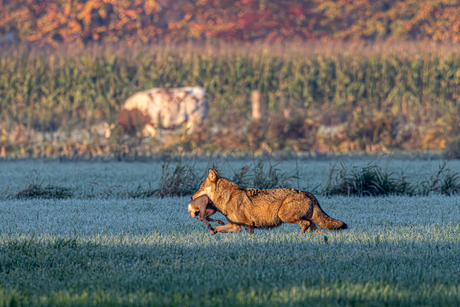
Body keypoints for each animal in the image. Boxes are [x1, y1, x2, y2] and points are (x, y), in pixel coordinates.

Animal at [190, 170, 344, 235]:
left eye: (200, 187)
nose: (191, 197)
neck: (228, 198)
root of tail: (306, 192)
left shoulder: (248, 225)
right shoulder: (236, 227)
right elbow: (217, 228)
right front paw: (212, 232)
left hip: (285, 217)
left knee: (305, 225)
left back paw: (299, 237)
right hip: (309, 222)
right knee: (315, 229)